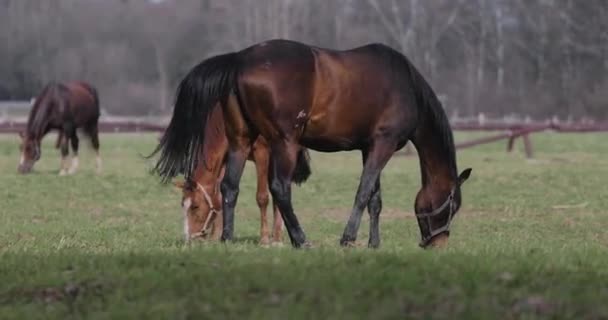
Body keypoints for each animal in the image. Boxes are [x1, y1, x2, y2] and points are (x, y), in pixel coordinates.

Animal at [173, 106, 312, 244]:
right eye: (182, 204)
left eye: (195, 206)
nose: (189, 238)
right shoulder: (227, 158)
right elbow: (220, 196)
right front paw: (215, 236)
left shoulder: (261, 153)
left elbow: (262, 197)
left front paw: (264, 239)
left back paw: (277, 237)